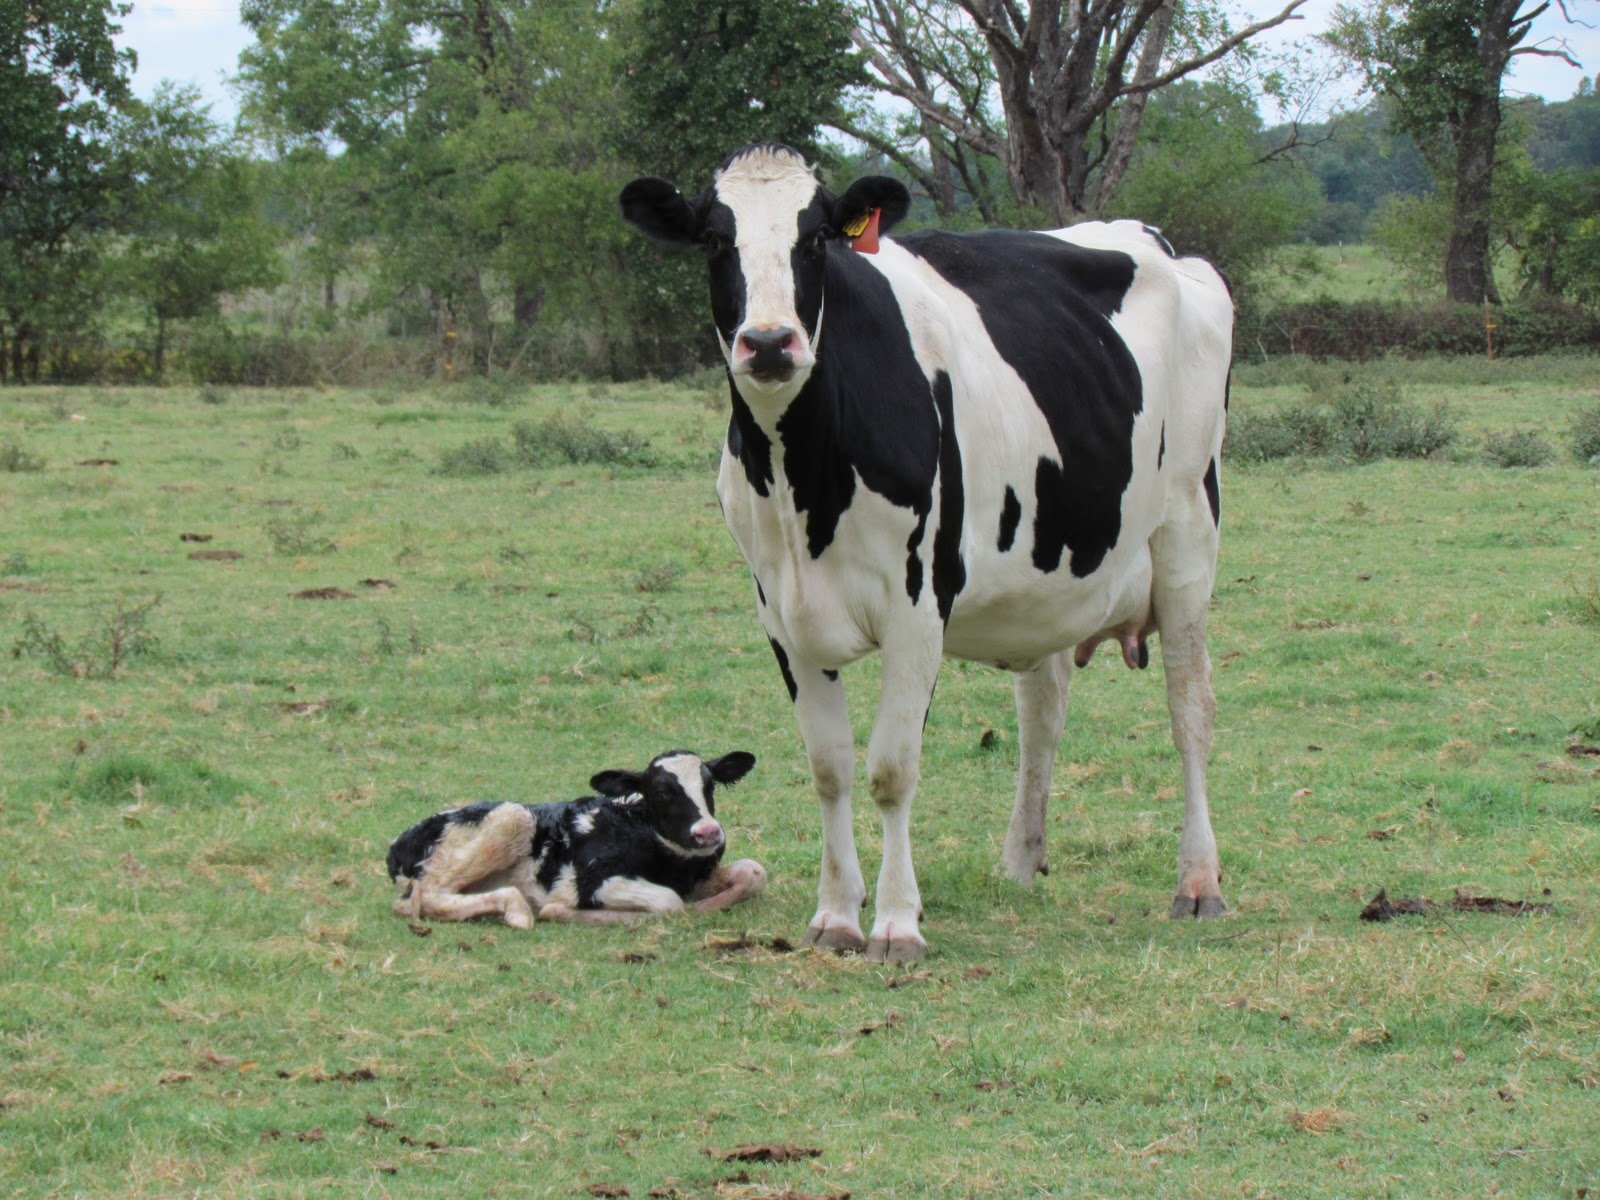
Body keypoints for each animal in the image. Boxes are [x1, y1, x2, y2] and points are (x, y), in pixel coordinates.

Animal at [384, 752, 764, 928]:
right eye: (660, 793)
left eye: (709, 785)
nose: (708, 832)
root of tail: (398, 846)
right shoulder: (591, 878)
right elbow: (668, 903)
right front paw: (562, 910)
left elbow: (753, 872)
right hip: (511, 818)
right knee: (425, 897)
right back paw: (517, 910)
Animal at [617, 143, 1228, 966]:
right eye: (715, 239)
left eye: (817, 239)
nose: (771, 343)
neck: (802, 476)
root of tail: (1154, 239)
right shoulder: (782, 615)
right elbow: (830, 769)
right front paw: (836, 916)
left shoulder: (917, 606)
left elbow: (890, 770)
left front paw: (897, 924)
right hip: (1046, 583)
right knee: (1042, 713)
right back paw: (1020, 860)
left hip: (1188, 531)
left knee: (1189, 708)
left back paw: (1198, 882)